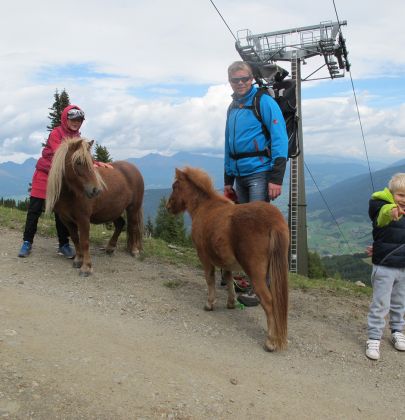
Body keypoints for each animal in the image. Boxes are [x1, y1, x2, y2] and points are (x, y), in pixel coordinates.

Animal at [46, 136, 144, 278]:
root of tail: (133, 168)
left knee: (134, 226)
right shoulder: (66, 219)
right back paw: (110, 247)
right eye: (78, 162)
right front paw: (78, 260)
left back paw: (134, 250)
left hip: (133, 208)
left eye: (92, 162)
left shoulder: (83, 219)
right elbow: (75, 239)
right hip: (113, 209)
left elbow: (85, 241)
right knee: (120, 223)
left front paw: (86, 267)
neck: (71, 194)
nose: (96, 190)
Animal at [166, 167, 288, 352]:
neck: (205, 207)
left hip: (256, 273)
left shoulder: (204, 258)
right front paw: (231, 303)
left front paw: (209, 304)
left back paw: (270, 341)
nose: (168, 206)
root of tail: (273, 222)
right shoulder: (227, 263)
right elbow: (229, 279)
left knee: (268, 302)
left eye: (175, 186)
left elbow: (210, 279)